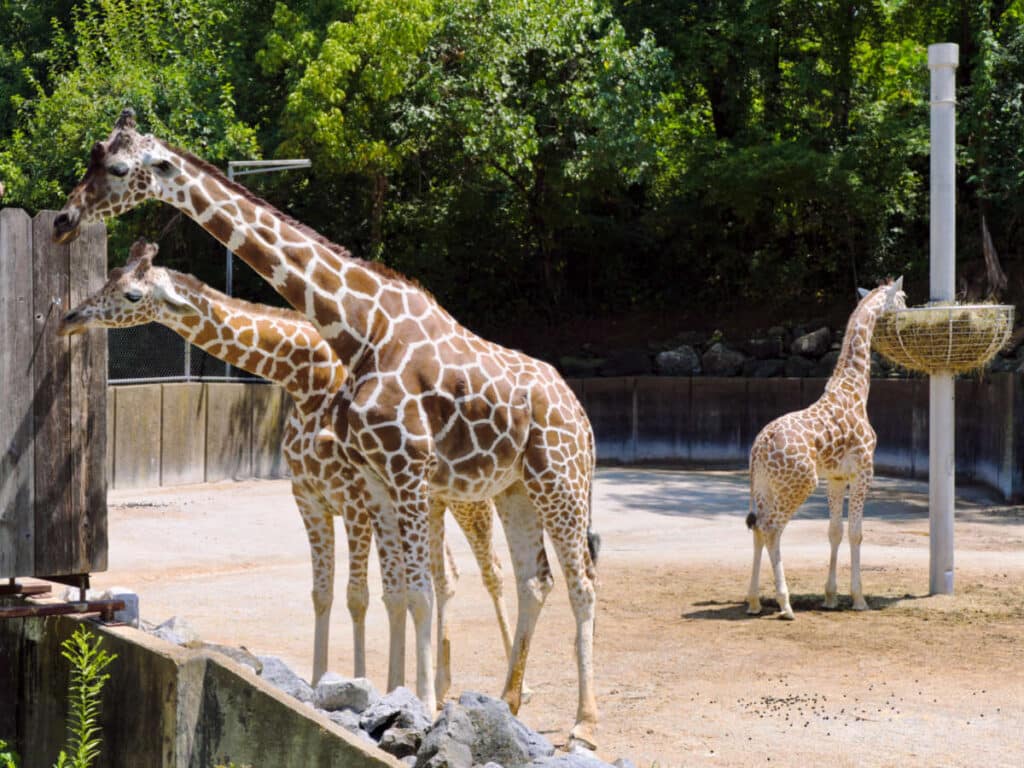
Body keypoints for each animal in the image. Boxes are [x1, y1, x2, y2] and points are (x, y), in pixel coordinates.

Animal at [57, 238, 520, 702]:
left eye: (132, 294)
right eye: (110, 275)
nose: (69, 319)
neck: (305, 381)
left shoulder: (354, 501)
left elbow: (358, 596)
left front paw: (362, 682)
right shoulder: (310, 496)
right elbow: (323, 594)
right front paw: (321, 683)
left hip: (470, 498)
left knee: (493, 571)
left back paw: (512, 693)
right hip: (431, 502)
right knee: (447, 578)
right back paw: (441, 688)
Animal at [745, 278, 905, 619]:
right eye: (903, 297)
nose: (907, 314)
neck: (855, 390)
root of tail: (758, 448)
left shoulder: (835, 477)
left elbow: (835, 531)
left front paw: (830, 596)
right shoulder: (863, 471)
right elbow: (857, 532)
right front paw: (859, 599)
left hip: (765, 487)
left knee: (758, 529)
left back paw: (753, 601)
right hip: (800, 483)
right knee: (772, 529)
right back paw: (785, 604)